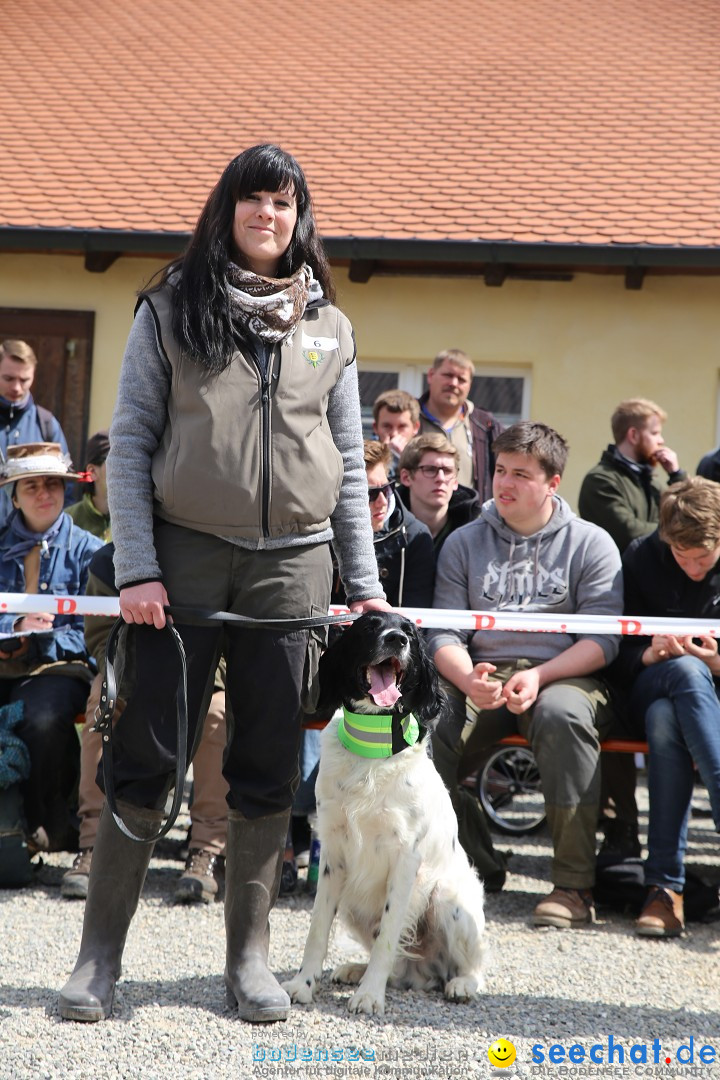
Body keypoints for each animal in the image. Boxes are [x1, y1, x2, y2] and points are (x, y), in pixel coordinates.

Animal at [280, 613, 483, 1015]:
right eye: (369, 626)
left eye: (409, 632)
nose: (395, 640)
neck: (372, 749)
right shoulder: (333, 856)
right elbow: (317, 930)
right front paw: (303, 984)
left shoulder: (406, 859)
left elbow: (389, 936)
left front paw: (370, 996)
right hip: (352, 904)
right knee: (403, 970)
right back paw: (356, 970)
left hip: (447, 898)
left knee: (469, 965)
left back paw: (461, 984)